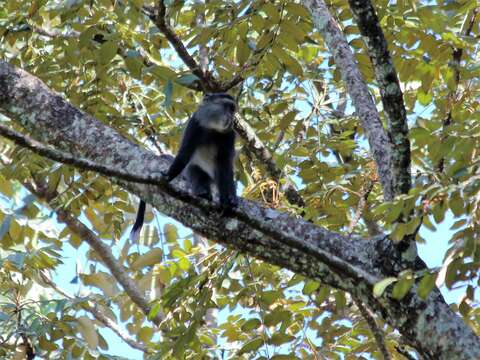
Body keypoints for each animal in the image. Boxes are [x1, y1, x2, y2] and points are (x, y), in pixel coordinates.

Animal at [129, 92, 238, 242]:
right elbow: (185, 154)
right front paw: (168, 176)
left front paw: (227, 199)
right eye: (227, 107)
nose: (232, 119)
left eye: (233, 110)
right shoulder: (195, 124)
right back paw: (203, 193)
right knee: (196, 172)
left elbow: (225, 166)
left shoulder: (229, 135)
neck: (213, 129)